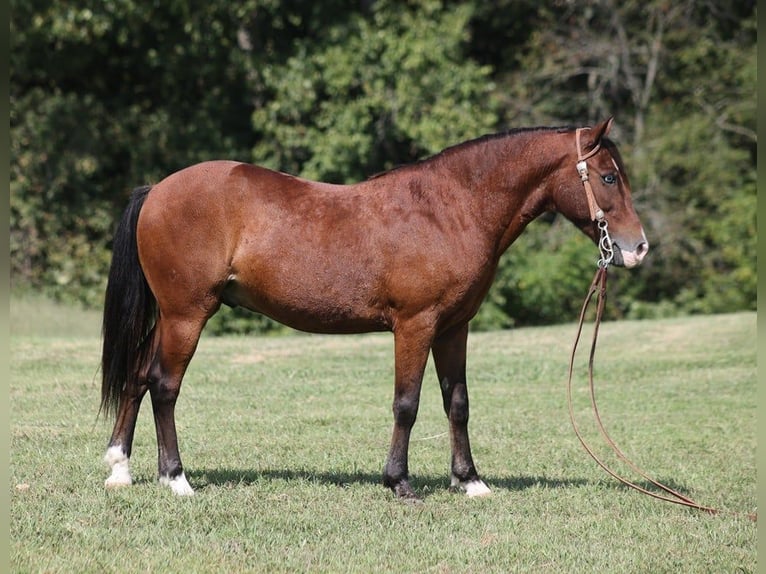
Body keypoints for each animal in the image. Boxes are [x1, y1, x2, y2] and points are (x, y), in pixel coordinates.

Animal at [100, 117, 648, 499]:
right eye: (607, 177)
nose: (638, 248)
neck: (450, 209)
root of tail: (157, 190)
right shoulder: (415, 325)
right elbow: (407, 403)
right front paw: (399, 482)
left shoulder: (454, 328)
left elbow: (457, 402)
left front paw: (469, 481)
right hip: (187, 314)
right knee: (164, 386)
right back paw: (176, 479)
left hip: (169, 316)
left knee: (138, 375)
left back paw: (120, 469)